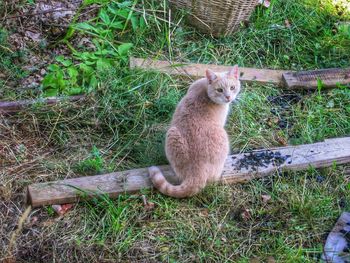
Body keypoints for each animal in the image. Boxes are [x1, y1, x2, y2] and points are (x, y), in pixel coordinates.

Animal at [148, 66, 241, 198]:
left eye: (232, 87)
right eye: (219, 90)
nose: (228, 97)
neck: (205, 88)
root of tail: (197, 171)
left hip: (172, 134)